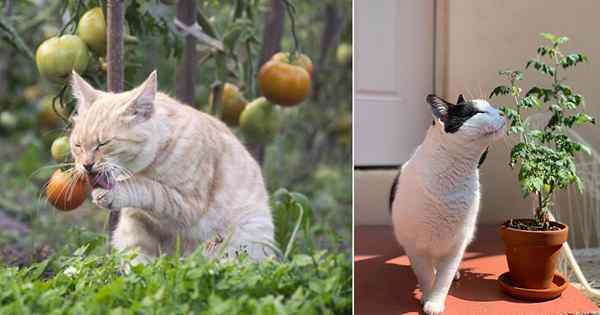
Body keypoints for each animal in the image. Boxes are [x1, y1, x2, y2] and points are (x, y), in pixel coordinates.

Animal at [69, 71, 274, 264]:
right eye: (78, 145)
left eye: (102, 144)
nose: (86, 165)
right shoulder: (136, 224)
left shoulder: (188, 204)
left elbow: (150, 189)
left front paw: (114, 193)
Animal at [390, 94, 506, 315]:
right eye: (478, 112)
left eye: (493, 107)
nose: (503, 112)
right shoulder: (416, 245)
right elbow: (426, 275)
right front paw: (427, 298)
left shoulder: (457, 244)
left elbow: (445, 278)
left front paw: (435, 302)